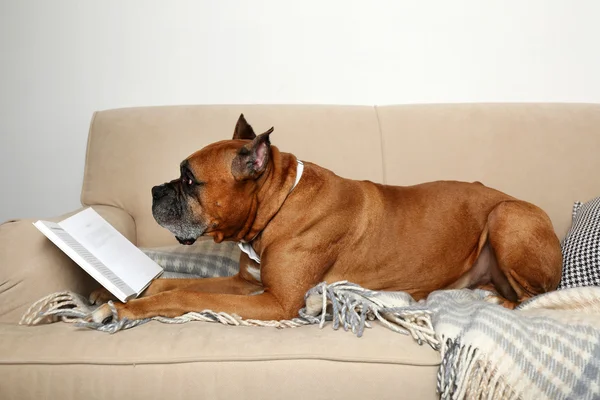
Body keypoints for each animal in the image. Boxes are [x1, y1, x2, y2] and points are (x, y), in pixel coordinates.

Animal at [88, 111, 564, 322]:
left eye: (189, 180)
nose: (155, 190)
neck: (277, 205)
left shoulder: (277, 302)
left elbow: (184, 296)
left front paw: (130, 308)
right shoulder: (246, 284)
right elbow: (175, 282)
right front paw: (108, 293)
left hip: (505, 216)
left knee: (537, 296)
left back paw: (499, 301)